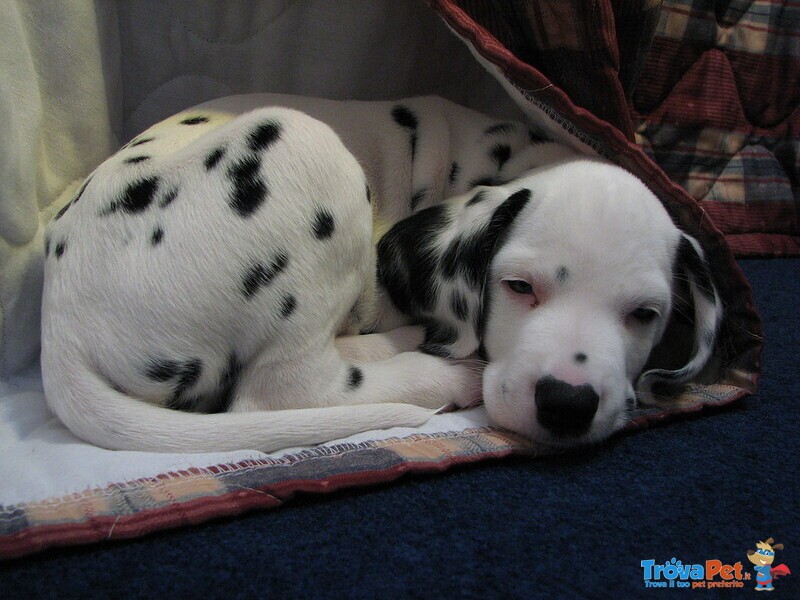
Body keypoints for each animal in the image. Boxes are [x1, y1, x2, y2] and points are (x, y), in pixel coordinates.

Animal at [40, 94, 720, 452]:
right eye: (520, 287)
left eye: (645, 316)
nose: (568, 404)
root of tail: (59, 332)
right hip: (307, 147)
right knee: (289, 389)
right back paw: (434, 370)